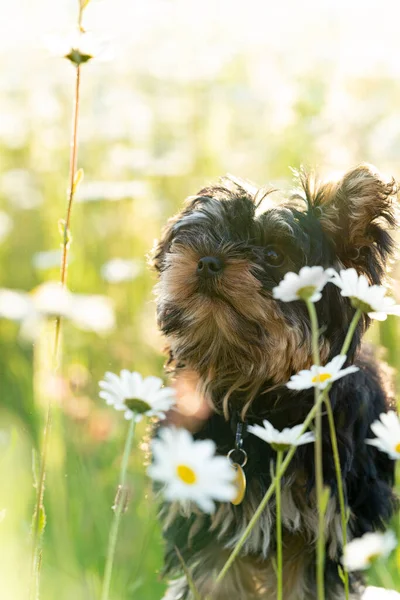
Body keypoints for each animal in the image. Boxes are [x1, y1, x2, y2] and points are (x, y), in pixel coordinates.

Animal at [151, 165, 396, 600]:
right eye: (198, 237)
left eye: (273, 255)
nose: (207, 260)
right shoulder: (207, 521)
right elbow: (211, 579)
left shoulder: (325, 528)